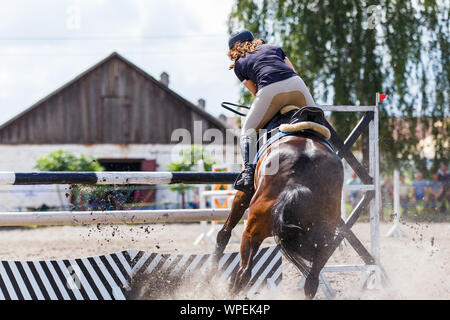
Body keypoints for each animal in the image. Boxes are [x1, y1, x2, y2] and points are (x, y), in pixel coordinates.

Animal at [213, 119, 342, 298]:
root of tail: (298, 182)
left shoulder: (244, 193)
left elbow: (224, 233)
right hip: (326, 237)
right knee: (312, 280)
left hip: (251, 233)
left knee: (243, 272)